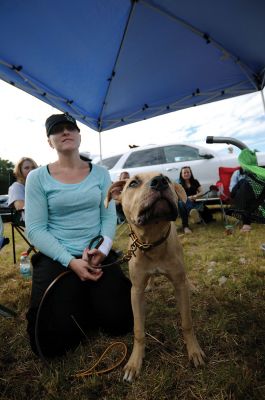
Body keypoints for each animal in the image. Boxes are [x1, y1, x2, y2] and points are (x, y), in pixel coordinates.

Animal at [104, 172, 205, 382]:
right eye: (133, 183)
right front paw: (134, 363)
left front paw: (194, 351)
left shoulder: (178, 285)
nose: (160, 181)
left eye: (166, 177)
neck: (151, 241)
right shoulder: (135, 292)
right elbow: (138, 330)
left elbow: (187, 323)